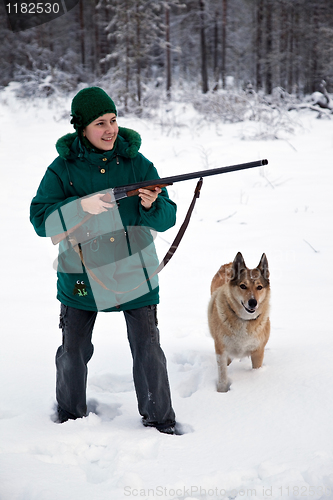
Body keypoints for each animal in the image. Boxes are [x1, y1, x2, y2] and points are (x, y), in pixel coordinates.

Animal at [208, 252, 270, 392]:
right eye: (243, 286)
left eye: (259, 287)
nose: (253, 302)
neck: (244, 320)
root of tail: (229, 264)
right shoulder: (221, 349)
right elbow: (223, 375)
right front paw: (222, 391)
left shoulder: (258, 351)